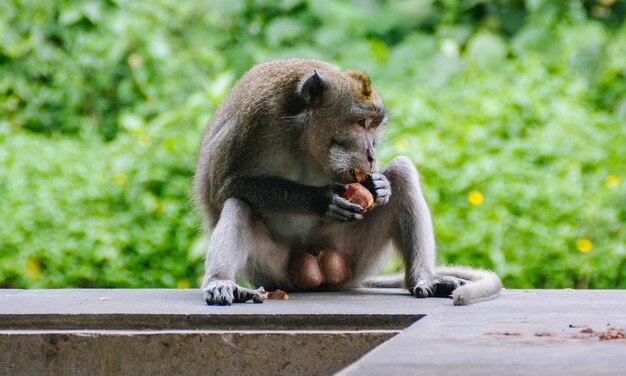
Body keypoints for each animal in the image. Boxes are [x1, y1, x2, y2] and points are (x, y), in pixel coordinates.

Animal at [193, 58, 500, 306]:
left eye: (374, 125)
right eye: (360, 122)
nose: (371, 154)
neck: (304, 138)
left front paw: (379, 185)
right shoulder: (255, 120)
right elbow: (222, 188)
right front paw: (323, 199)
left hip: (352, 255)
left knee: (403, 172)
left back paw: (423, 279)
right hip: (271, 271)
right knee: (238, 204)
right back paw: (220, 281)